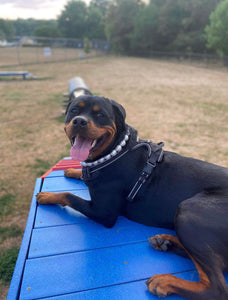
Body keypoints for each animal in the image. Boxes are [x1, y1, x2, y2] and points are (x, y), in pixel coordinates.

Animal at [37, 95, 228, 298]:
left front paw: (48, 195)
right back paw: (166, 242)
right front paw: (73, 171)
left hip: (189, 210)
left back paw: (165, 281)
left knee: (216, 288)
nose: (79, 121)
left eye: (100, 114)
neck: (114, 152)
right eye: (74, 111)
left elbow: (68, 195)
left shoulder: (103, 213)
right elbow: (81, 177)